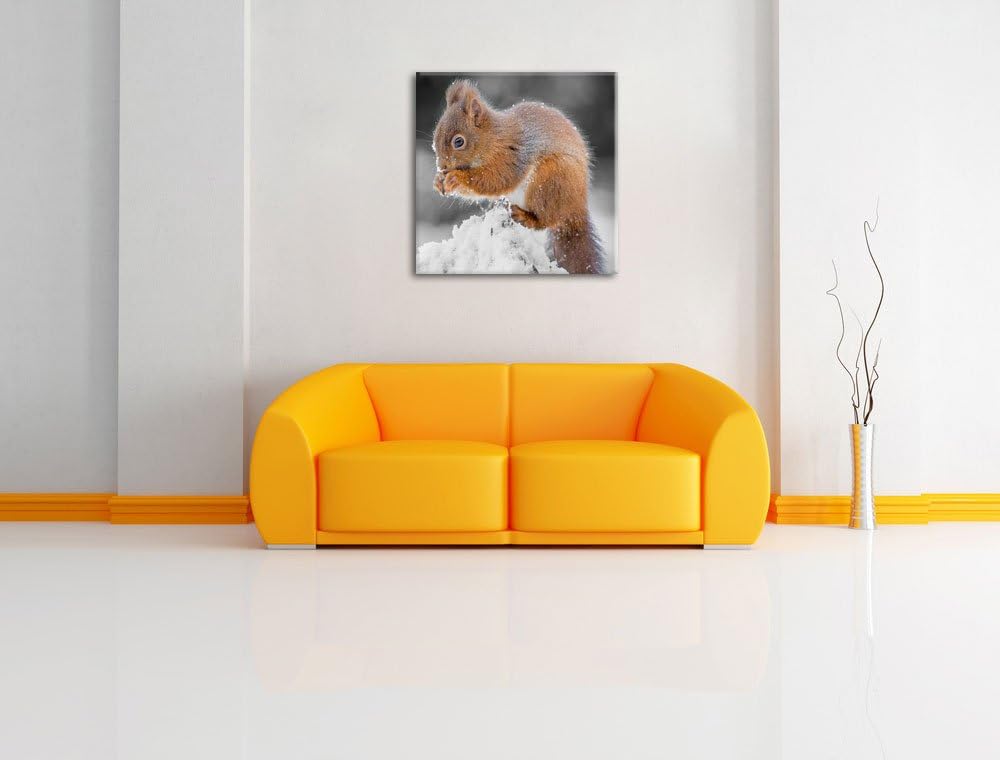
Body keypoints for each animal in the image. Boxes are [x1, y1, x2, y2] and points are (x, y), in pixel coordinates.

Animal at [431, 80, 606, 274]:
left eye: (459, 142)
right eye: (435, 137)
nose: (442, 166)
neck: (493, 138)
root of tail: (576, 208)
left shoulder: (513, 155)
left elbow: (497, 179)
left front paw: (456, 178)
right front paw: (438, 181)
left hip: (549, 181)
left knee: (546, 220)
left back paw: (525, 216)